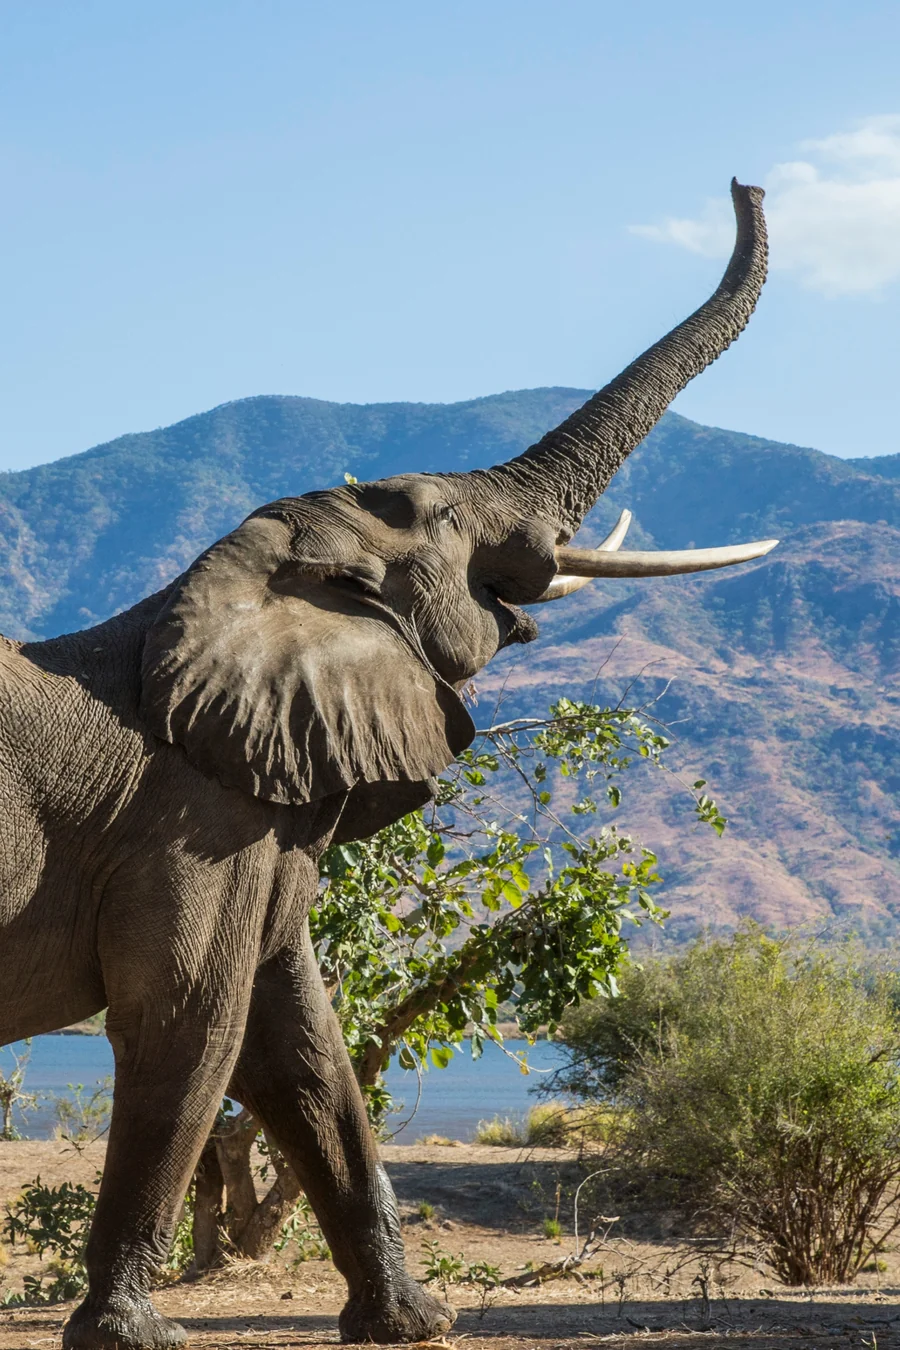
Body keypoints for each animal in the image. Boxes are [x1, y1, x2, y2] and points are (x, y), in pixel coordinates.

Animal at [0, 180, 775, 1349]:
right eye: (441, 521)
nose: (748, 186)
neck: (222, 586)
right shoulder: (189, 821)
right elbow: (189, 1023)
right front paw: (135, 1336)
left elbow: (300, 1044)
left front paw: (413, 1324)